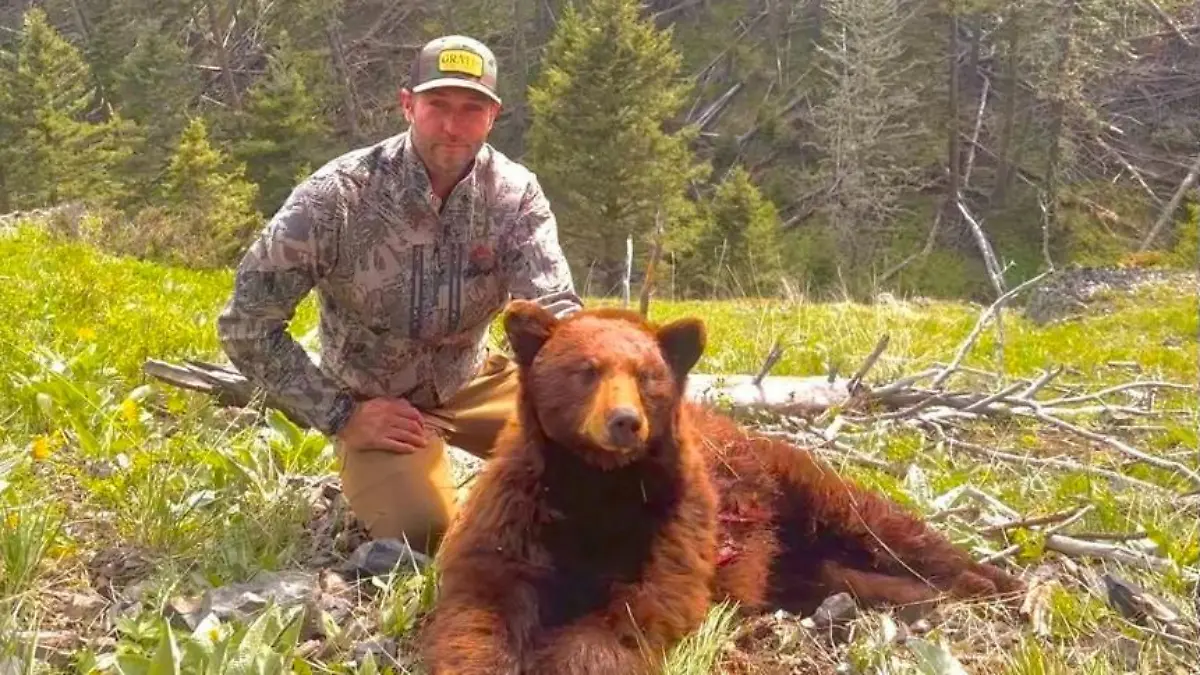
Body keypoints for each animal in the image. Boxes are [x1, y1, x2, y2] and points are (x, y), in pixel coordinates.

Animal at [419, 301, 1023, 675]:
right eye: (586, 370)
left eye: (647, 376)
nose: (624, 422)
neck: (598, 486)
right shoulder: (521, 508)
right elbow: (483, 600)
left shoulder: (671, 519)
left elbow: (643, 607)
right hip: (799, 561)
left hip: (800, 488)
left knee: (890, 529)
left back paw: (997, 582)